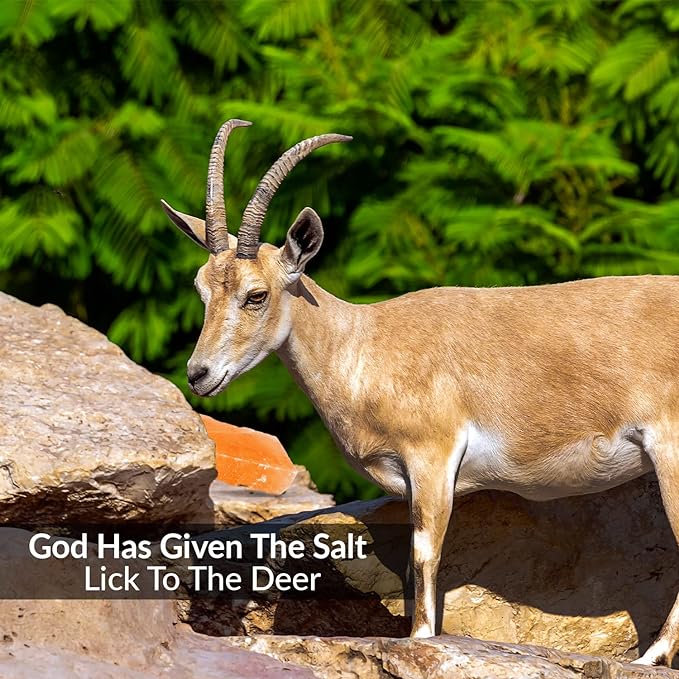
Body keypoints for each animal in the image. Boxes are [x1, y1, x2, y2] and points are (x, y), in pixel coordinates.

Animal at [161, 118, 679, 667]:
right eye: (202, 287)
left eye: (256, 294)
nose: (199, 373)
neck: (365, 344)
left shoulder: (433, 457)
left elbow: (424, 555)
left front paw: (420, 640)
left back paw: (650, 656)